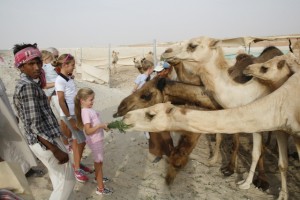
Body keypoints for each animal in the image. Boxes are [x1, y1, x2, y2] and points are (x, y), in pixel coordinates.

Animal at [159, 36, 284, 190]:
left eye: (193, 45)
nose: (166, 51)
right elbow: (226, 139)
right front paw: (217, 163)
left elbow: (256, 150)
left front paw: (254, 181)